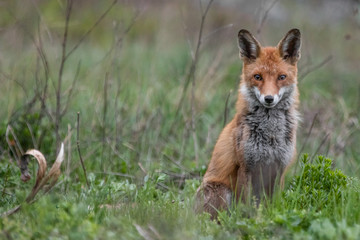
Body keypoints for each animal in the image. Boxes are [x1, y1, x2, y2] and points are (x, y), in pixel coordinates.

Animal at [194, 28, 300, 219]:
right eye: (257, 77)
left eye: (281, 77)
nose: (269, 98)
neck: (271, 134)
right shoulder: (246, 167)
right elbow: (245, 206)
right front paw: (247, 222)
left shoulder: (280, 167)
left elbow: (275, 204)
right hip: (222, 191)